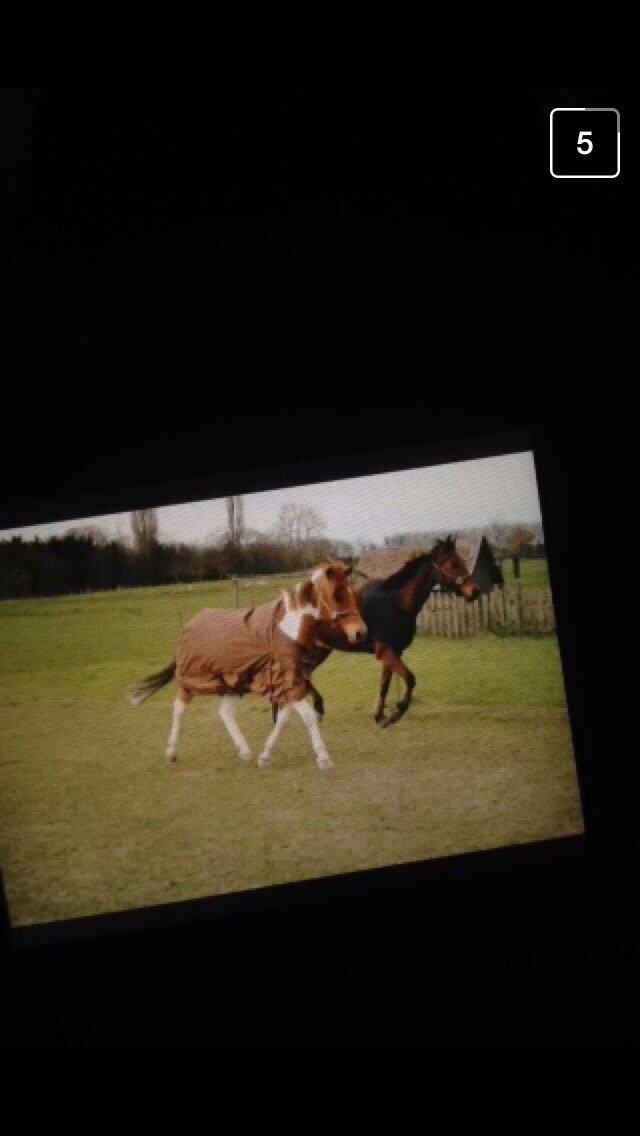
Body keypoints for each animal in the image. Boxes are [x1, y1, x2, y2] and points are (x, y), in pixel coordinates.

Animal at [300, 533, 481, 727]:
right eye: (454, 563)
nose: (475, 590)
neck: (395, 603)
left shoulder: (394, 652)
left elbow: (385, 684)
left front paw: (380, 716)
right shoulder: (385, 650)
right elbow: (410, 678)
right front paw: (398, 711)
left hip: (321, 650)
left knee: (304, 675)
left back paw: (317, 709)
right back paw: (315, 708)